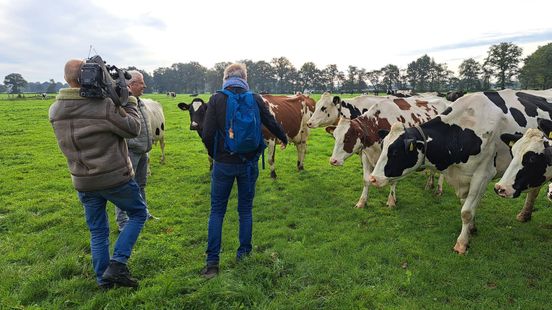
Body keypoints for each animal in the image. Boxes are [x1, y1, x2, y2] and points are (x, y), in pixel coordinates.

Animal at [368, 88, 552, 253]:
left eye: (395, 152)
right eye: (383, 147)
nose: (373, 178)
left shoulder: (482, 175)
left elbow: (466, 212)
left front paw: (462, 244)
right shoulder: (463, 177)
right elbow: (467, 206)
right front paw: (471, 229)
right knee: (534, 190)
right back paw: (525, 215)